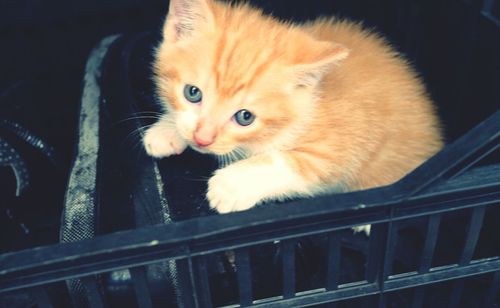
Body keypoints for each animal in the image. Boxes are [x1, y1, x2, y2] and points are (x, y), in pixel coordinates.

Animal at [143, 1, 444, 220]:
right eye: (192, 93)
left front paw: (232, 184)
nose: (202, 139)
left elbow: (288, 161)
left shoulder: (340, 146)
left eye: (245, 117)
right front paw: (167, 130)